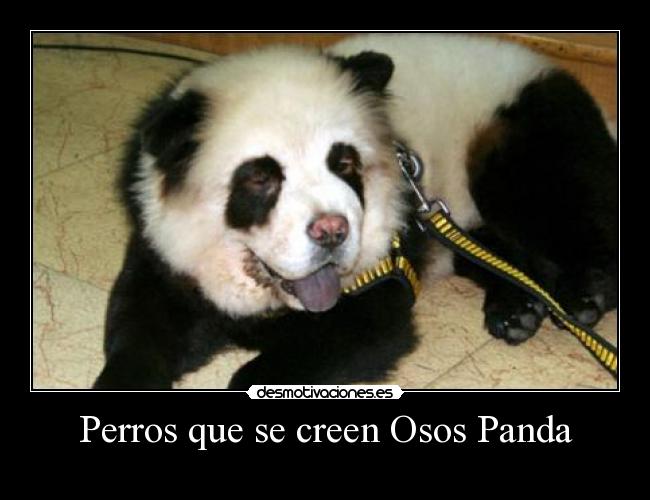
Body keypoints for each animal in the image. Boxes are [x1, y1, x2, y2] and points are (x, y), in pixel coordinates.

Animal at [93, 33, 618, 389]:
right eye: (260, 178)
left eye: (343, 163)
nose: (331, 231)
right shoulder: (167, 247)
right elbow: (140, 322)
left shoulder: (381, 272)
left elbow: (356, 335)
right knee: (482, 244)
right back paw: (517, 307)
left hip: (514, 137)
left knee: (563, 212)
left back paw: (582, 296)